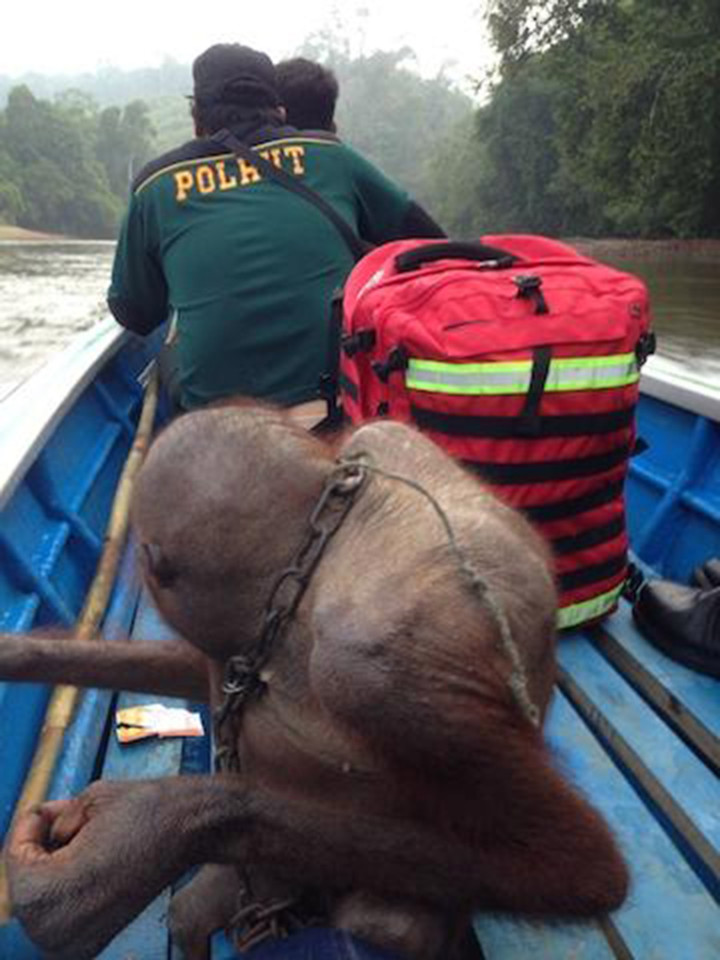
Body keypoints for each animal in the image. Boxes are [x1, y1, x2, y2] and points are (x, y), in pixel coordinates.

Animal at [2, 404, 628, 960]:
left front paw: (137, 836)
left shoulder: (379, 672)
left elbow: (576, 867)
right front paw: (19, 653)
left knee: (383, 922)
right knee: (198, 910)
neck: (329, 541)